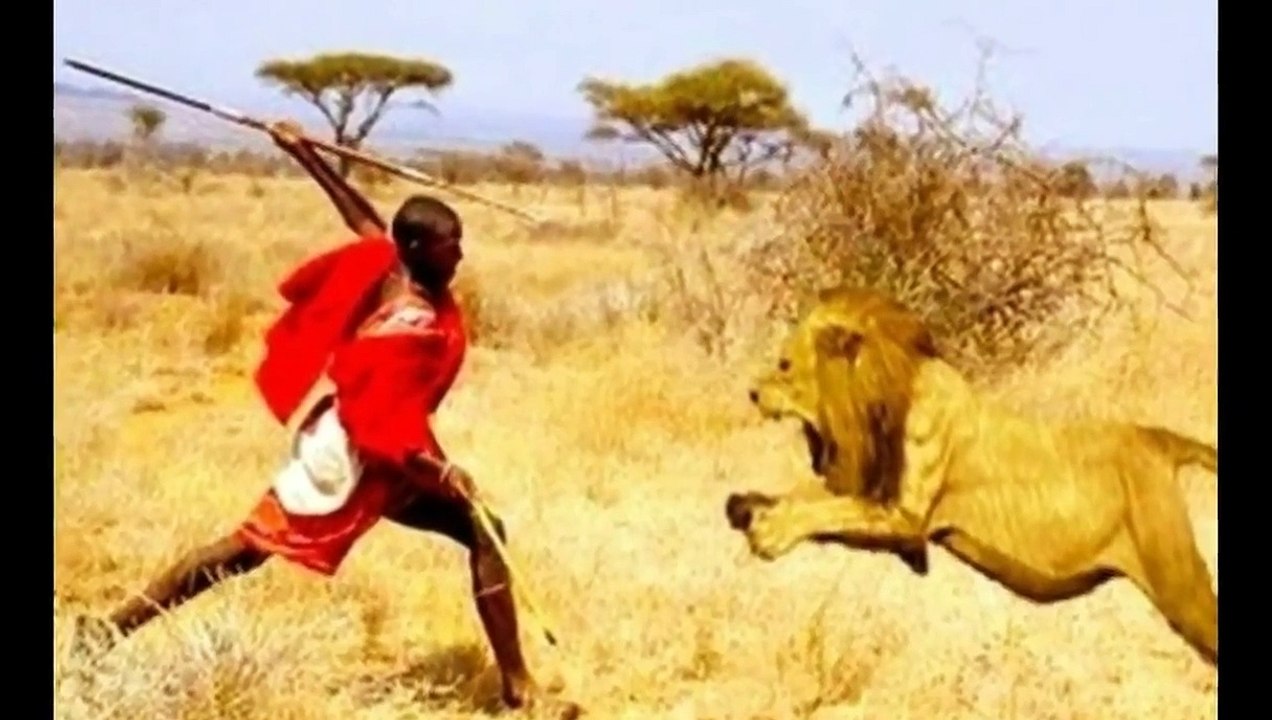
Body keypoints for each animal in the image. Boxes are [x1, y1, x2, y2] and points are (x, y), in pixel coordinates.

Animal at [726, 286, 1218, 667]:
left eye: (784, 364)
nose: (750, 392)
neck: (881, 396)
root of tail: (1159, 438)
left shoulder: (906, 519)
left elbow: (830, 509)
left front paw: (770, 532)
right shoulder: (880, 500)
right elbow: (813, 496)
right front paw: (746, 507)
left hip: (1176, 582)